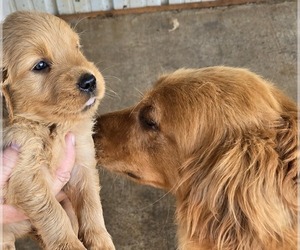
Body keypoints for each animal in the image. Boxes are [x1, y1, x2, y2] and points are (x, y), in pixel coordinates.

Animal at [0, 10, 115, 249]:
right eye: (40, 65)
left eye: (77, 47)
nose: (90, 81)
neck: (51, 127)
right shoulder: (25, 173)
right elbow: (53, 214)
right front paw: (69, 245)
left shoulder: (82, 159)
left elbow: (91, 203)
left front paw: (100, 241)